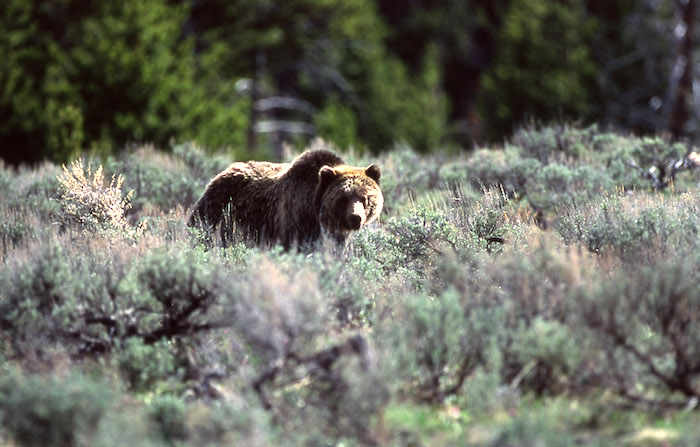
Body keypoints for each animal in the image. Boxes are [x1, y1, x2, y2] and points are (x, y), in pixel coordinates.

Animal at [188, 148, 383, 249]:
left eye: (365, 198)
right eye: (343, 198)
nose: (355, 218)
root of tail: (223, 171)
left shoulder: (334, 234)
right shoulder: (295, 219)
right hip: (219, 205)